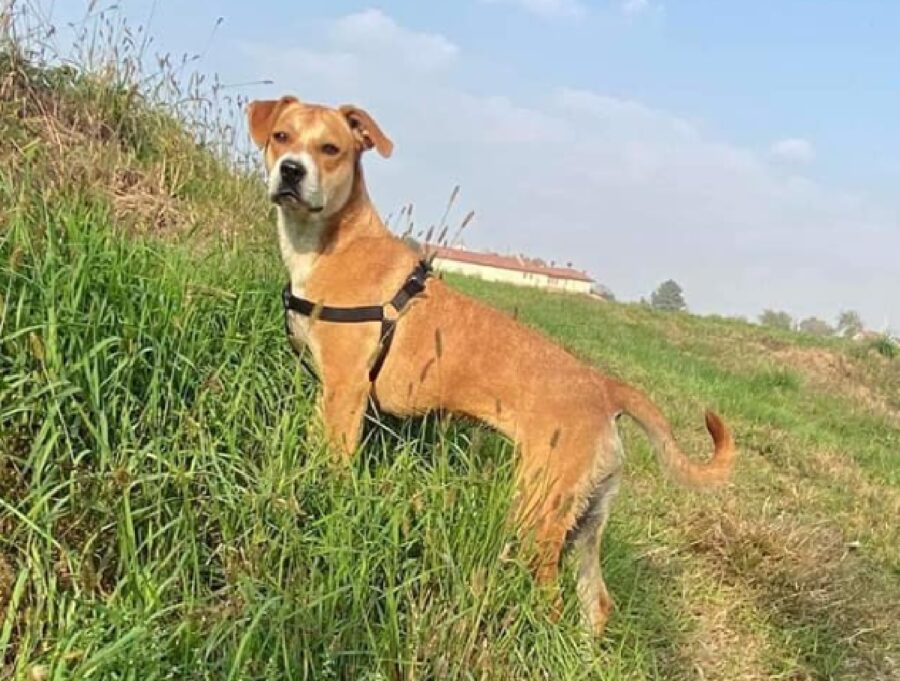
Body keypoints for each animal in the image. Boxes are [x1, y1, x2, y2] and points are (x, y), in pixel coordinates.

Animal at [248, 95, 740, 636]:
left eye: (330, 148)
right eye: (282, 136)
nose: (291, 171)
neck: (335, 241)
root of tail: (605, 386)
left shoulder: (345, 389)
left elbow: (330, 462)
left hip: (538, 511)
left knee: (551, 597)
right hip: (586, 518)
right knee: (597, 602)